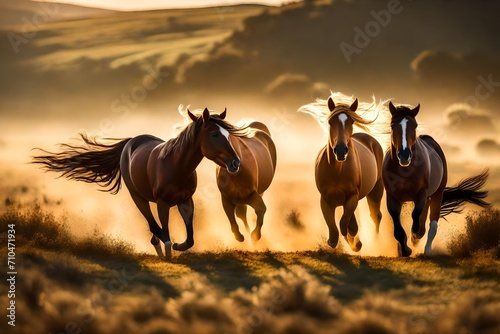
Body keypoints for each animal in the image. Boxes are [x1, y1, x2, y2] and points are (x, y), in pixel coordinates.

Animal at [32, 107, 243, 258]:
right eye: (214, 134)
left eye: (227, 134)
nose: (235, 163)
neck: (176, 167)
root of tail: (130, 142)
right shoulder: (162, 202)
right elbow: (163, 226)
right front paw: (168, 247)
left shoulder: (185, 200)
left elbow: (190, 237)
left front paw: (178, 245)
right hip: (138, 197)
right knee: (150, 221)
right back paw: (158, 243)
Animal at [298, 92, 388, 252]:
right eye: (330, 122)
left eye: (351, 122)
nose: (340, 150)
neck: (337, 172)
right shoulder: (325, 200)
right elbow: (335, 228)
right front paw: (345, 242)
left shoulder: (352, 196)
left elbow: (344, 224)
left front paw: (354, 241)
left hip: (376, 190)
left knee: (375, 216)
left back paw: (375, 243)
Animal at [380, 101, 490, 256]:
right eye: (392, 125)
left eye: (415, 125)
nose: (404, 155)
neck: (405, 170)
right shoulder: (392, 196)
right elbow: (398, 227)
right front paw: (406, 249)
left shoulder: (421, 194)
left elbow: (416, 217)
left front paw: (414, 237)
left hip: (437, 194)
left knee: (432, 224)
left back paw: (427, 249)